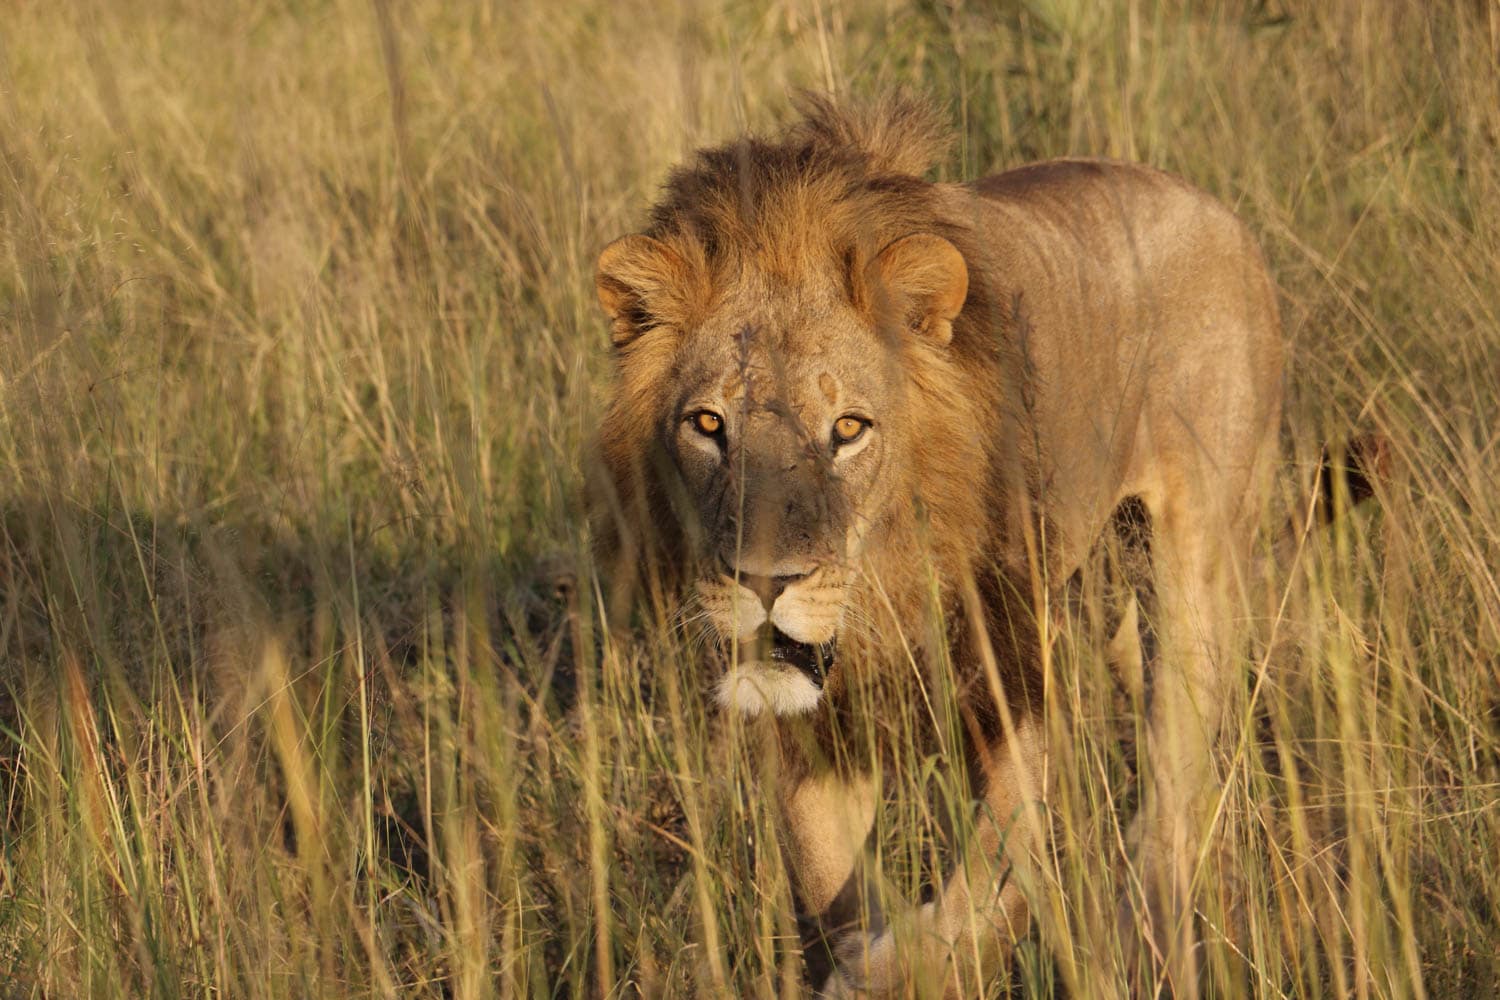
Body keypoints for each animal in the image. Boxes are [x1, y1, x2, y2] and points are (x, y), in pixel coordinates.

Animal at [590, 93, 1284, 997]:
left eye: (848, 430)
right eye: (708, 425)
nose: (764, 582)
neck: (886, 590)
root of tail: (1219, 212)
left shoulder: (1017, 691)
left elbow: (990, 880)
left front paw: (908, 962)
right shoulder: (816, 740)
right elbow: (830, 887)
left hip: (1197, 563)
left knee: (1171, 795)